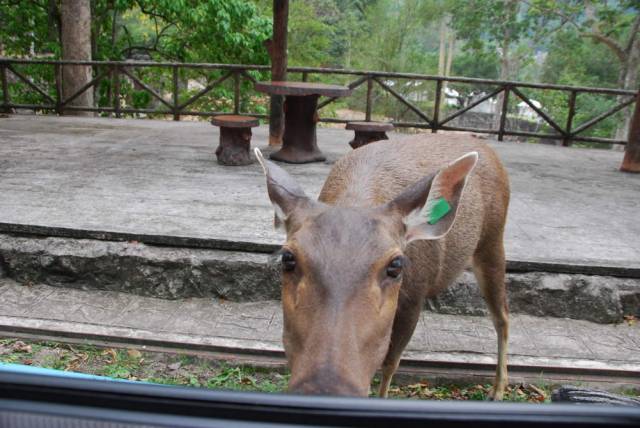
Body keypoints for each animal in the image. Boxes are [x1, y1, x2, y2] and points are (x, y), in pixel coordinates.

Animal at [255, 135, 510, 402]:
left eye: (396, 265)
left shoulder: (413, 298)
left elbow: (390, 362)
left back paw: (498, 390)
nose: (325, 388)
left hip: (492, 240)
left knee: (502, 315)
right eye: (288, 258)